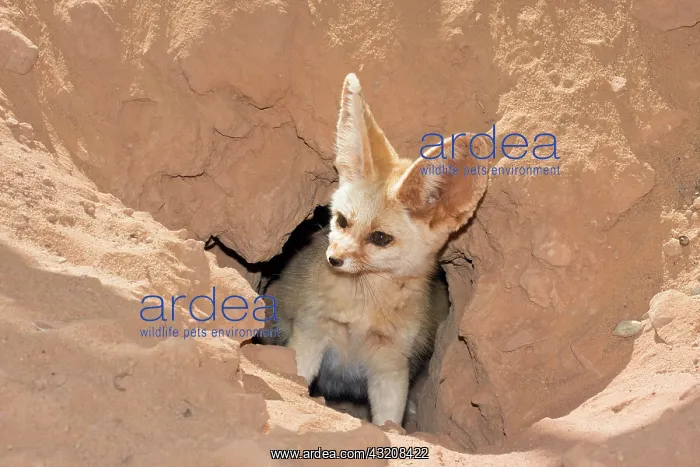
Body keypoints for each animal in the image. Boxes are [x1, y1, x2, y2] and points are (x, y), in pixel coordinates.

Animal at [261, 73, 490, 426]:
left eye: (380, 238)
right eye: (341, 220)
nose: (334, 258)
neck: (361, 312)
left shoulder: (391, 367)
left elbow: (389, 424)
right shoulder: (311, 334)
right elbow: (297, 380)